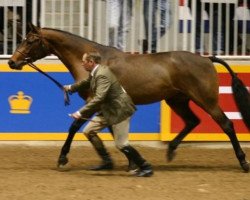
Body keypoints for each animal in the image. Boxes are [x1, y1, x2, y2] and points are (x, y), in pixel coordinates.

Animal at [7, 24, 250, 172]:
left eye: (30, 40)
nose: (12, 62)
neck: (95, 61)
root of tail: (207, 59)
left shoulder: (94, 101)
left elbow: (75, 126)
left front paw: (62, 158)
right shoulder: (106, 105)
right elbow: (112, 132)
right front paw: (124, 162)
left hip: (206, 100)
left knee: (227, 125)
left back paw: (243, 162)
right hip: (177, 100)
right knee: (192, 121)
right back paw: (170, 151)